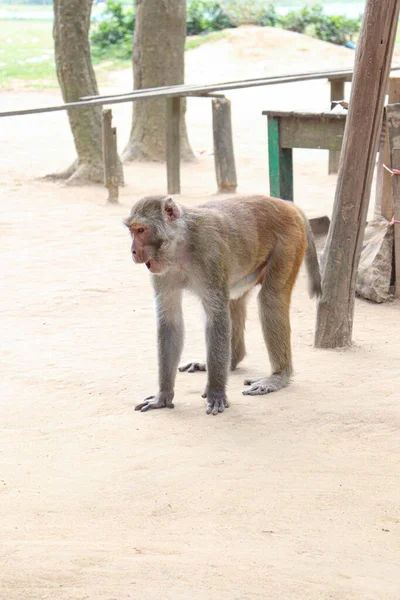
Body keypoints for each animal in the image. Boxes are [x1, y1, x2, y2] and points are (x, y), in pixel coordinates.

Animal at [125, 195, 322, 414]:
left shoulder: (211, 254)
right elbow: (170, 322)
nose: (133, 251)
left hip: (290, 242)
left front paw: (216, 392)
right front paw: (163, 396)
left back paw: (278, 376)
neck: (181, 246)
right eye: (132, 230)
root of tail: (285, 203)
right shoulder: (162, 272)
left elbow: (216, 318)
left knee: (270, 298)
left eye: (141, 230)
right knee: (233, 300)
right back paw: (230, 360)